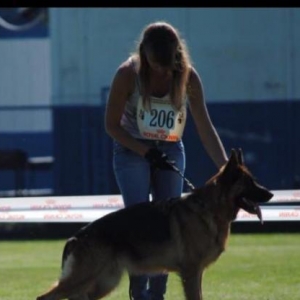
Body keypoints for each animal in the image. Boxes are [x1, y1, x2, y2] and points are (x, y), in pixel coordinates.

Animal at [36, 149, 274, 300]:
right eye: (250, 183)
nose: (271, 194)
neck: (210, 208)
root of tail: (75, 237)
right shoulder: (191, 272)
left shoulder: (196, 273)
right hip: (85, 278)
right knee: (44, 297)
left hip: (104, 281)